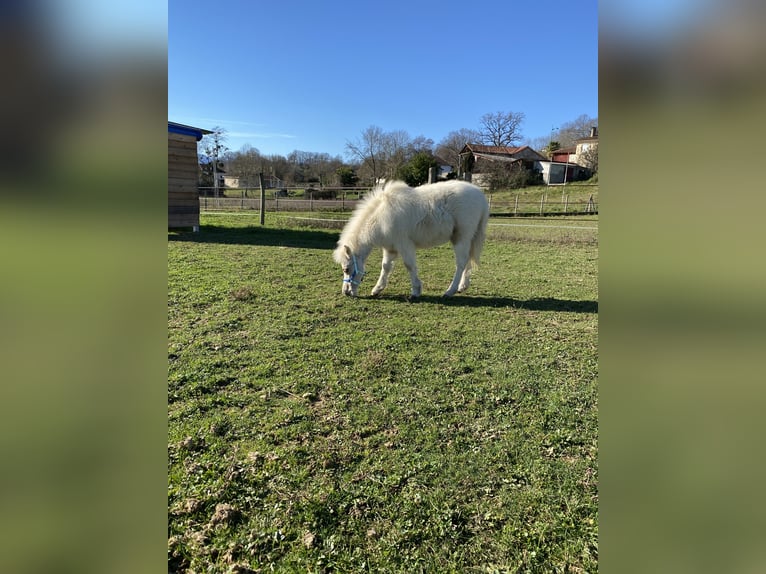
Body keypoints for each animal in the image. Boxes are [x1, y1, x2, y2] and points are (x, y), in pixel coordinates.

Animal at [333, 180, 489, 298]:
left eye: (346, 269)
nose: (346, 292)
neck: (380, 217)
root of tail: (481, 196)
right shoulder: (390, 248)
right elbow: (386, 267)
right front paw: (377, 289)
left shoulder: (404, 245)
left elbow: (409, 265)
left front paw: (416, 291)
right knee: (468, 259)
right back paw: (463, 286)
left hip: (461, 237)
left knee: (461, 262)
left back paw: (450, 290)